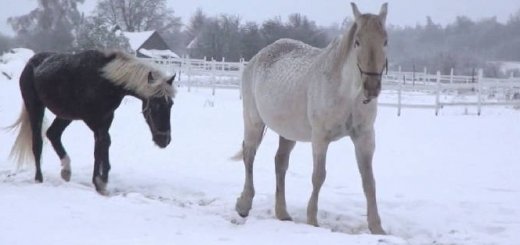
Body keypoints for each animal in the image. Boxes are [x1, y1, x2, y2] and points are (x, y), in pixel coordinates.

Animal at [234, 2, 388, 234]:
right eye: (357, 42)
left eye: (385, 41)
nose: (371, 88)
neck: (345, 93)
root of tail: (257, 57)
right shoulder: (320, 138)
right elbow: (318, 176)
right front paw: (312, 220)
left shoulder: (364, 138)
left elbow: (369, 181)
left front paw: (377, 227)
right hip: (253, 122)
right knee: (249, 156)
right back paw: (244, 204)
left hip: (288, 133)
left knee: (280, 163)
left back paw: (282, 213)